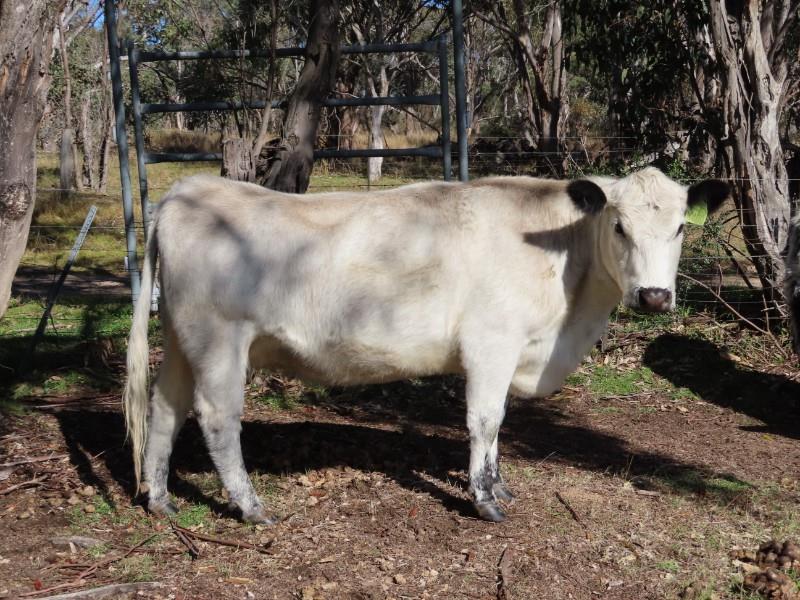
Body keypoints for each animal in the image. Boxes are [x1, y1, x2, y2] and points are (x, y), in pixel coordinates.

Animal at [124, 167, 729, 523]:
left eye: (680, 227)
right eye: (619, 226)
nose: (654, 296)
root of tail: (188, 190)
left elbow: (499, 426)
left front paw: (501, 487)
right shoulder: (491, 342)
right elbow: (486, 420)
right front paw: (485, 501)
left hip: (180, 340)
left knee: (164, 409)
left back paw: (160, 498)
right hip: (219, 341)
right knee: (218, 418)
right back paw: (251, 507)